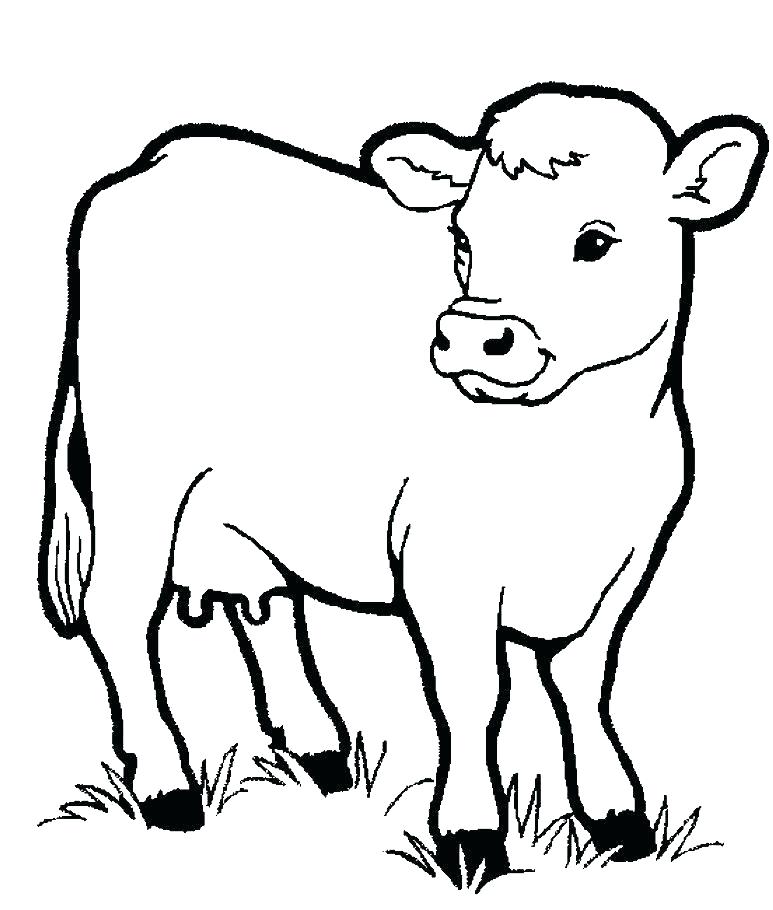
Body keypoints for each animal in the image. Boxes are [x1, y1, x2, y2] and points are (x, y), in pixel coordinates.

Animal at [40, 83, 766, 884]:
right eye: (463, 240)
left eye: (595, 240)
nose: (472, 335)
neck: (571, 456)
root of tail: (171, 153)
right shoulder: (444, 566)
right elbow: (474, 695)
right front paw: (472, 836)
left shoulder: (624, 566)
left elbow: (584, 687)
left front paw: (617, 819)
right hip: (138, 474)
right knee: (119, 610)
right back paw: (167, 785)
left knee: (266, 604)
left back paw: (320, 748)